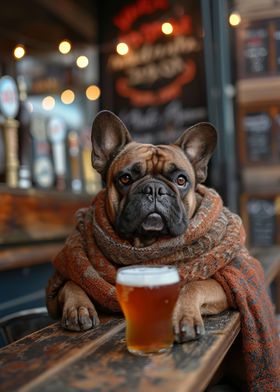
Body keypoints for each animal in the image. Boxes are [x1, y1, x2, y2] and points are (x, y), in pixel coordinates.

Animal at [52, 110, 230, 344]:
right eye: (126, 178)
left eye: (181, 180)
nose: (154, 189)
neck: (146, 244)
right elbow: (71, 283)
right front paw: (79, 308)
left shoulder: (222, 288)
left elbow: (193, 285)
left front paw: (184, 316)